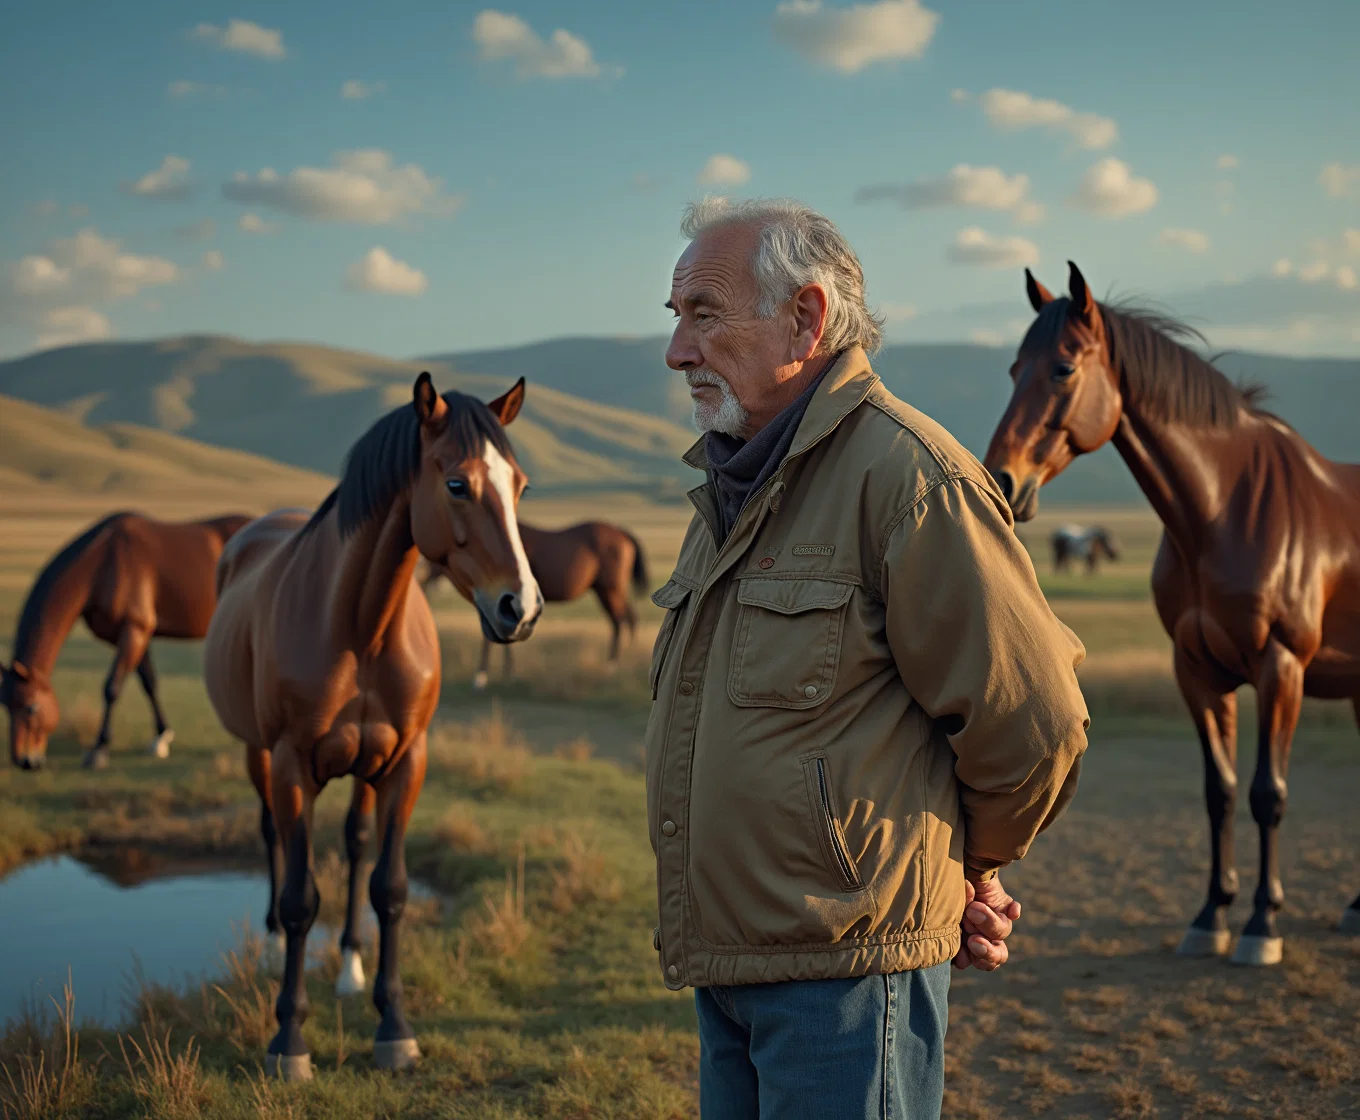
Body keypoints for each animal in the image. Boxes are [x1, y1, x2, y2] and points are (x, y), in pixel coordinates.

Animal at [1, 513, 251, 772]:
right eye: (5, 705)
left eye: (31, 708)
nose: (25, 760)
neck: (102, 563)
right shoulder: (137, 635)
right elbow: (149, 683)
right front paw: (161, 738)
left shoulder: (134, 630)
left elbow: (112, 687)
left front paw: (98, 750)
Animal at [202, 375, 541, 1076]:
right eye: (457, 484)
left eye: (520, 486)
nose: (520, 608)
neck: (360, 626)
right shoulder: (291, 765)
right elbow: (301, 899)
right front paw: (288, 1040)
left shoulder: (406, 761)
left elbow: (390, 887)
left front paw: (394, 1027)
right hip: (256, 753)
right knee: (272, 837)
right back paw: (271, 948)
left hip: (365, 765)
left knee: (356, 844)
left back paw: (350, 969)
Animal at [418, 521, 647, 687]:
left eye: (435, 561)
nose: (424, 586)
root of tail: (622, 533)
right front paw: (507, 673)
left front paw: (481, 677)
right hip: (608, 590)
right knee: (630, 617)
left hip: (610, 589)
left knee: (619, 620)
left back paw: (612, 666)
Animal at [984, 260, 1360, 962]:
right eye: (1015, 368)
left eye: (1063, 368)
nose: (1004, 481)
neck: (1221, 513)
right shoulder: (1198, 672)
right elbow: (1220, 792)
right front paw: (1212, 914)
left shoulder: (1281, 669)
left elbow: (1268, 793)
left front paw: (1262, 924)